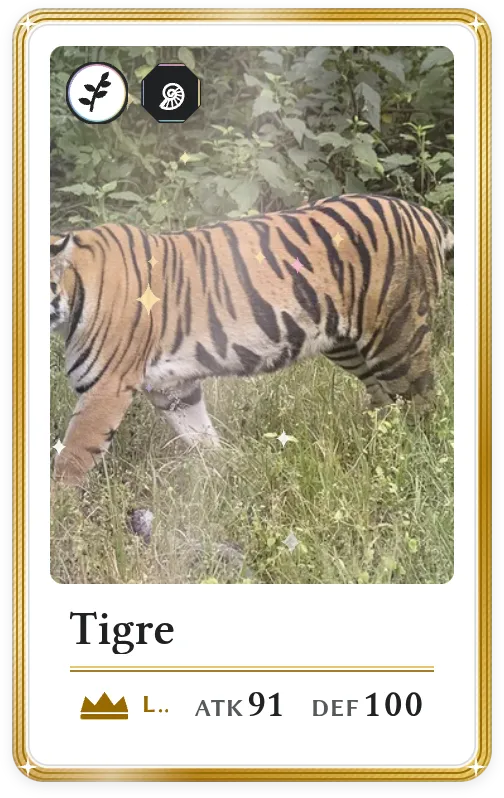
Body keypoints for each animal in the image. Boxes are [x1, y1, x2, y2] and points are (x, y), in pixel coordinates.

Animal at [50, 193, 453, 486]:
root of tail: (423, 213)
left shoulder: (106, 388)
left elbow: (71, 458)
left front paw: (60, 515)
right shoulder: (173, 388)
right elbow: (199, 433)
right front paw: (223, 468)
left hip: (397, 339)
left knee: (424, 404)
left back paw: (415, 459)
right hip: (348, 345)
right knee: (386, 400)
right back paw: (378, 444)